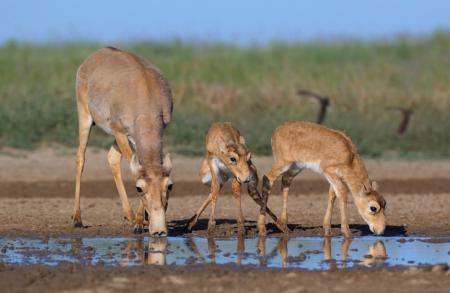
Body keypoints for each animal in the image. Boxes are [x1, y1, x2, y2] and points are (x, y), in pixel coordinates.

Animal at [73, 46, 173, 236]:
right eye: (139, 188)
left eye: (169, 186)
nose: (159, 231)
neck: (145, 92)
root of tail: (98, 53)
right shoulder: (119, 131)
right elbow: (133, 170)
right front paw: (140, 223)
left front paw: (141, 219)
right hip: (85, 118)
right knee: (81, 158)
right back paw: (77, 219)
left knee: (111, 157)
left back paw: (129, 215)